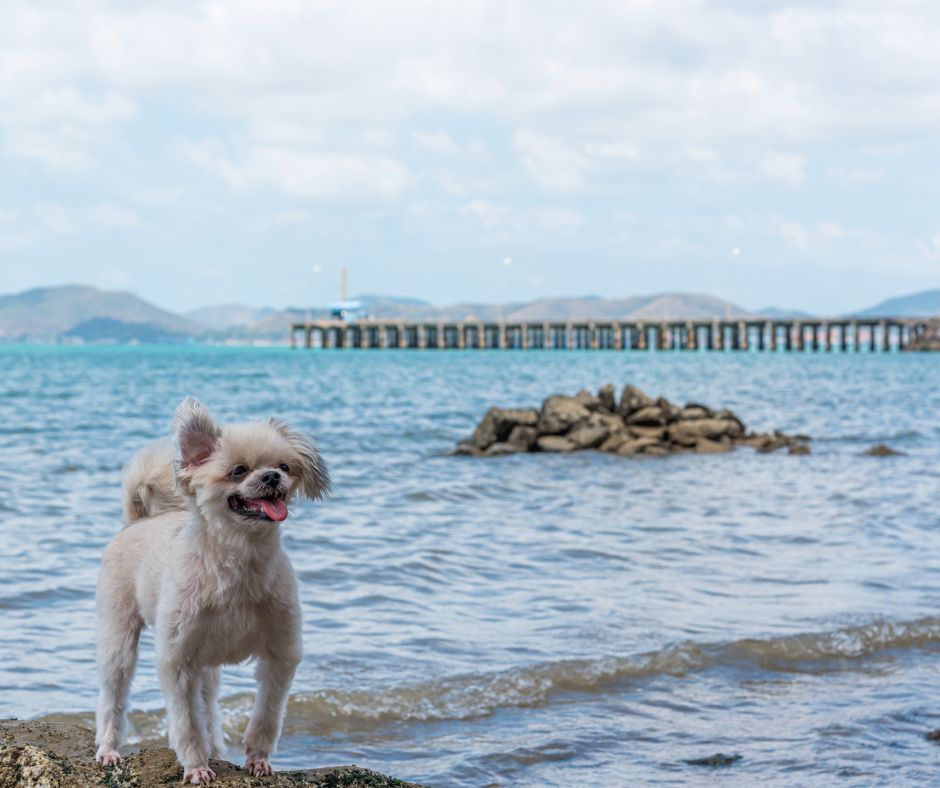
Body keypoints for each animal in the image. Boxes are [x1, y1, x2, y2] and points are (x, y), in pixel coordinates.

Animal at [94, 398, 330, 784]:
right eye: (238, 471)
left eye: (284, 466)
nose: (272, 477)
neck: (238, 560)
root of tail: (139, 520)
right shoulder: (177, 663)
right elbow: (187, 722)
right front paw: (196, 767)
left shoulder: (280, 656)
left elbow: (266, 716)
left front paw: (257, 760)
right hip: (119, 639)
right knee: (114, 696)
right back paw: (109, 749)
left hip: (205, 665)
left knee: (208, 705)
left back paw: (217, 749)